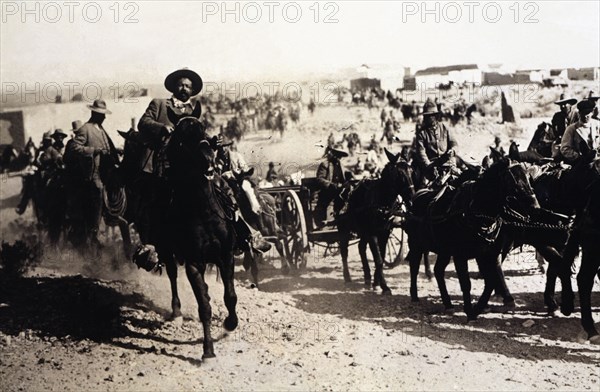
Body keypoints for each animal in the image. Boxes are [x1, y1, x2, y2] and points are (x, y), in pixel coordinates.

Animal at [166, 116, 239, 358]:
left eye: (204, 131)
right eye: (183, 138)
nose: (209, 159)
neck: (205, 213)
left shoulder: (226, 256)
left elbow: (230, 297)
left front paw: (230, 324)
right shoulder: (194, 264)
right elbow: (204, 308)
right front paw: (208, 350)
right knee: (172, 275)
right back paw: (176, 311)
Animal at [336, 149, 414, 294]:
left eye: (411, 171)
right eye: (399, 173)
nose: (412, 200)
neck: (381, 200)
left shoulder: (384, 233)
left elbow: (382, 257)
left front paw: (376, 282)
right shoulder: (373, 234)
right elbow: (378, 259)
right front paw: (384, 286)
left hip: (363, 231)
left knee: (361, 247)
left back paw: (367, 277)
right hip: (343, 229)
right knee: (344, 252)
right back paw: (347, 278)